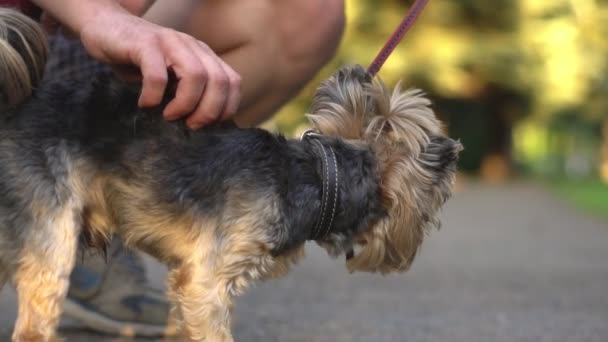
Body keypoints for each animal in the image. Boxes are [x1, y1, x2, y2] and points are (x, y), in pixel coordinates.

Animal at [0, 8, 460, 342]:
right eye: (428, 216)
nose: (404, 256)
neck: (314, 178)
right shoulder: (207, 281)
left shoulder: (189, 286)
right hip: (51, 224)